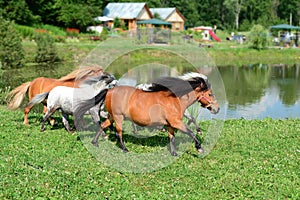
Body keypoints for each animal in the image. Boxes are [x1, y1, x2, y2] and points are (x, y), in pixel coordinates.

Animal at [74, 72, 220, 156]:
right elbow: (190, 132)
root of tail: (109, 91)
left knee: (103, 125)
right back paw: (125, 149)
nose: (217, 109)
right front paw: (199, 148)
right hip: (119, 117)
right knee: (118, 133)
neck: (174, 100)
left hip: (112, 116)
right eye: (210, 94)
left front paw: (173, 153)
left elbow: (172, 138)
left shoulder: (170, 125)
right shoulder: (176, 122)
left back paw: (95, 142)